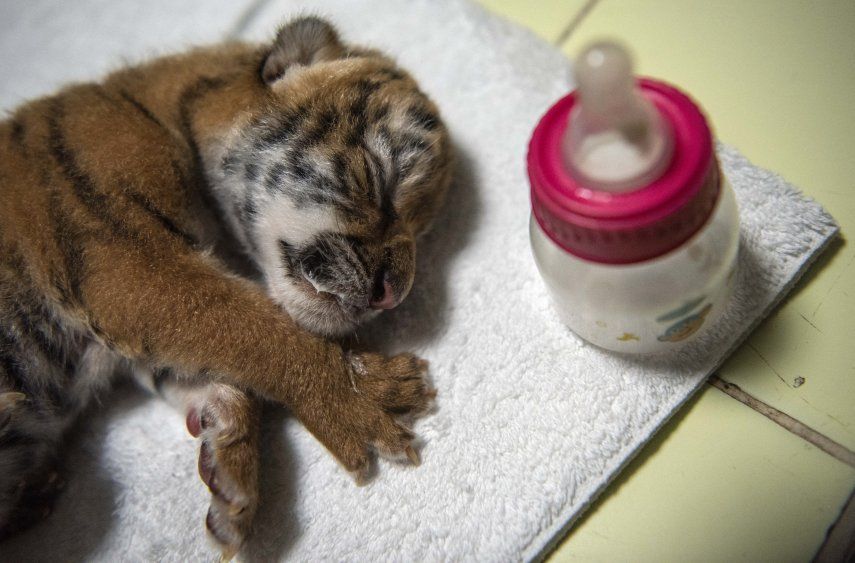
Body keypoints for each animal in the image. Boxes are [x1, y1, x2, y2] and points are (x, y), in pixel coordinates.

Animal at [0, 16, 452, 557]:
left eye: (421, 231)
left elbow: (221, 371)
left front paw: (230, 472)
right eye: (379, 180)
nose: (392, 296)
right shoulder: (130, 265)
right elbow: (252, 327)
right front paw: (364, 394)